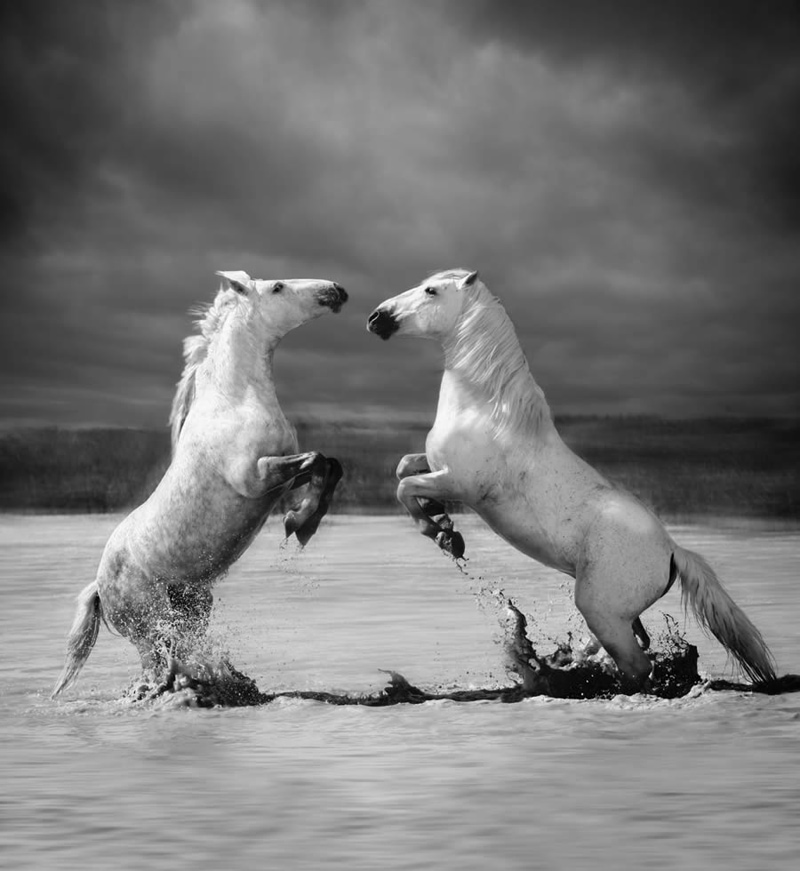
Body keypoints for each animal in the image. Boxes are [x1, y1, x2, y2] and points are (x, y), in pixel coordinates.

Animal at [53, 270, 348, 697]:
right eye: (277, 287)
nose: (336, 290)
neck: (235, 399)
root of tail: (98, 586)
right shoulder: (255, 477)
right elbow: (316, 459)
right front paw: (299, 524)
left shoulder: (280, 482)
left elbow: (329, 464)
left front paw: (304, 522)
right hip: (149, 624)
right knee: (158, 669)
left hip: (194, 604)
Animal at [367, 268, 776, 693]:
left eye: (431, 291)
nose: (377, 318)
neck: (486, 411)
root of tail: (672, 551)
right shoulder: (437, 468)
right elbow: (404, 468)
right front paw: (443, 523)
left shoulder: (460, 485)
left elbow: (404, 488)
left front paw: (443, 535)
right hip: (614, 615)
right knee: (631, 645)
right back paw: (563, 659)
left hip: (603, 613)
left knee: (638, 668)